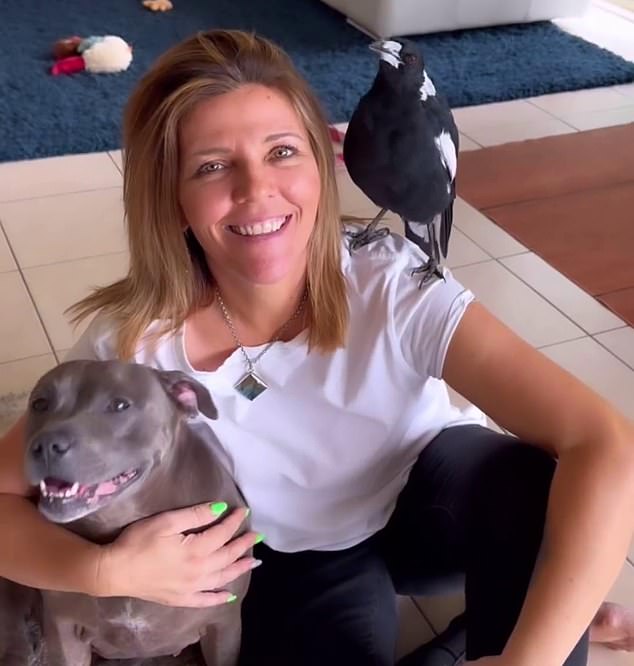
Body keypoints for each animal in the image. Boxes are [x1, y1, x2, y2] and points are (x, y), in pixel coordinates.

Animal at [0, 360, 252, 660]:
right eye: (40, 403)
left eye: (120, 405)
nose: (46, 445)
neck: (119, 522)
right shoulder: (63, 630)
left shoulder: (223, 624)